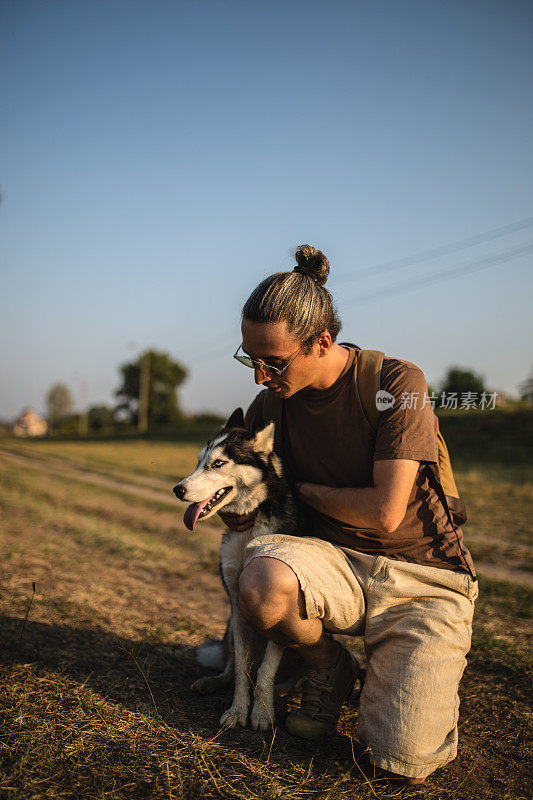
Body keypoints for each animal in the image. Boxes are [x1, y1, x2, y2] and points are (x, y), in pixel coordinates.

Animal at [174, 410, 302, 728]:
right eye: (198, 461)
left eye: (219, 463)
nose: (177, 489)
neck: (251, 525)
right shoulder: (236, 602)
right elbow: (242, 667)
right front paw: (237, 711)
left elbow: (266, 668)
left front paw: (262, 712)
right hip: (230, 624)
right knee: (232, 665)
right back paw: (212, 682)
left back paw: (282, 694)